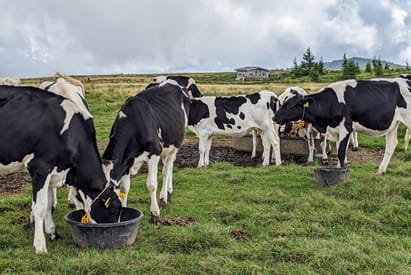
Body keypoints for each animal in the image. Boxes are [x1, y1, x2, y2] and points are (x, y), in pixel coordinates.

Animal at [0, 86, 122, 254]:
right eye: (115, 209)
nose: (115, 229)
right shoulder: (40, 168)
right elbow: (40, 207)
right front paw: (40, 246)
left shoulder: (54, 172)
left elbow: (50, 203)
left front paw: (52, 232)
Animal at [102, 81, 191, 225]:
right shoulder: (126, 162)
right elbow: (124, 188)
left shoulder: (154, 153)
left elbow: (151, 185)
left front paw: (155, 214)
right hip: (166, 148)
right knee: (169, 167)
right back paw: (169, 193)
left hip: (176, 144)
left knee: (167, 170)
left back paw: (163, 199)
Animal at [276, 78, 411, 176]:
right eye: (283, 103)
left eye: (290, 106)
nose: (274, 117)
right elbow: (337, 148)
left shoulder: (345, 127)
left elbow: (341, 152)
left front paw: (340, 172)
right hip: (393, 124)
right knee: (391, 145)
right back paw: (380, 171)